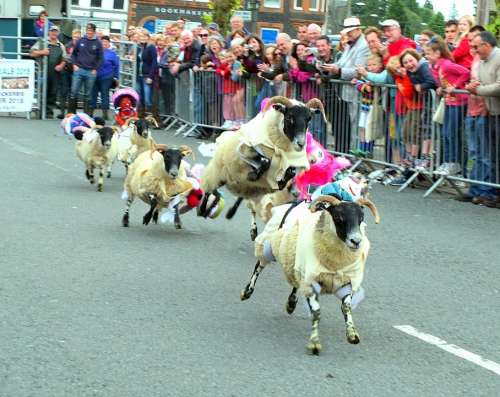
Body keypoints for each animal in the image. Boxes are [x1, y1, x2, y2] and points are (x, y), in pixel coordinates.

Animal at [197, 96, 326, 230]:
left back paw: (224, 211)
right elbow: (265, 161)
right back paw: (202, 210)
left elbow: (289, 173)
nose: (301, 144)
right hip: (219, 173)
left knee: (224, 195)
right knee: (208, 190)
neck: (278, 148)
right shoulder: (244, 151)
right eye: (289, 117)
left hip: (242, 185)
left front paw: (279, 181)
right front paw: (253, 175)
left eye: (309, 119)